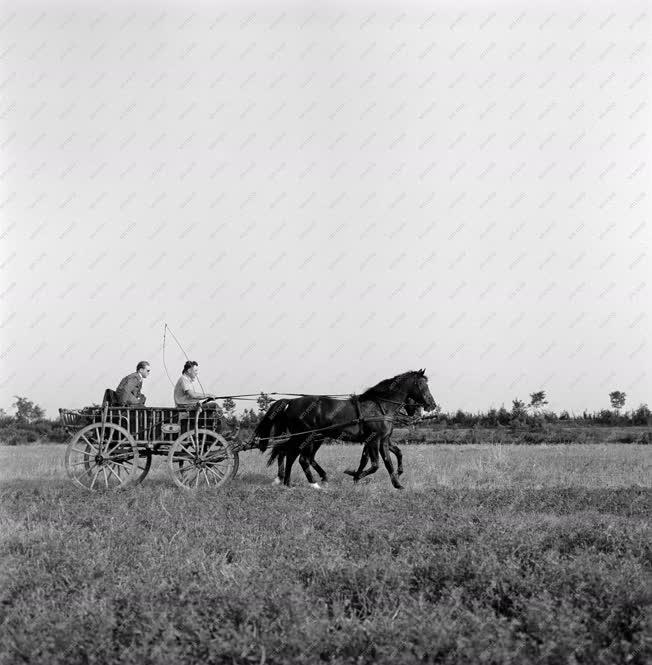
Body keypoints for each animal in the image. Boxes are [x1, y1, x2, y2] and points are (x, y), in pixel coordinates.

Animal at [255, 368, 432, 488]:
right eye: (422, 385)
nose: (432, 404)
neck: (380, 406)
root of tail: (291, 402)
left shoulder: (381, 440)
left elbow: (387, 458)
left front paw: (393, 480)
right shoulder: (375, 440)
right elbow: (377, 464)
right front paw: (356, 475)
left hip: (307, 438)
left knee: (289, 454)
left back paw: (287, 482)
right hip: (307, 437)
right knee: (299, 457)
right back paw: (312, 484)